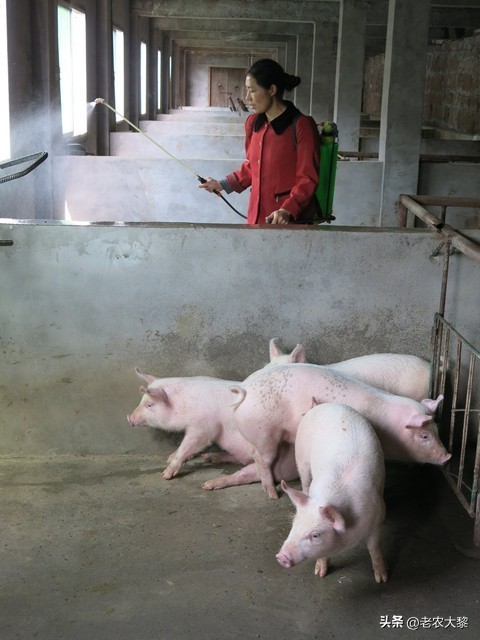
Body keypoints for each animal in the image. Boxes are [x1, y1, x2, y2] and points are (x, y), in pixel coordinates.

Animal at [126, 368, 298, 489]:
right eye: (142, 401)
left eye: (150, 405)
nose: (129, 418)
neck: (185, 406)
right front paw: (169, 457)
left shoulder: (203, 427)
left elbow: (189, 445)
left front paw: (165, 474)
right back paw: (209, 458)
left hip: (279, 464)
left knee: (243, 475)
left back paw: (207, 485)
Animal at [231, 363, 449, 499]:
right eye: (424, 435)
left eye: (437, 429)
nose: (448, 456)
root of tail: (245, 391)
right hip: (264, 434)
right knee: (262, 459)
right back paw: (273, 495)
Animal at [276, 403, 388, 583]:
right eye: (294, 525)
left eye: (315, 535)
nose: (281, 557)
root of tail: (324, 404)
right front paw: (319, 573)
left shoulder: (378, 516)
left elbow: (374, 547)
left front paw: (382, 579)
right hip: (301, 457)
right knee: (305, 481)